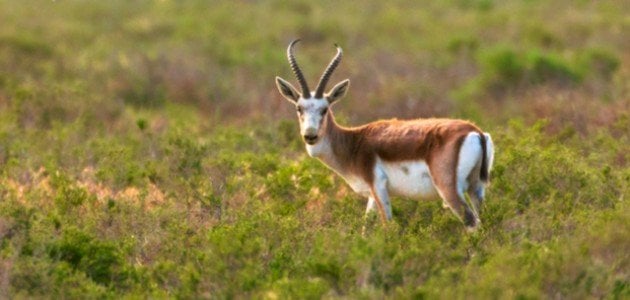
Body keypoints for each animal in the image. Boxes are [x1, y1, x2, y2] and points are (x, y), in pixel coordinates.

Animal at [274, 39, 496, 230]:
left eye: (324, 109)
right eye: (299, 108)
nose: (310, 135)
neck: (354, 142)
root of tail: (475, 131)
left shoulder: (379, 188)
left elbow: (387, 226)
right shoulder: (372, 196)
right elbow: (366, 228)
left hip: (449, 190)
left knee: (471, 222)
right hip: (476, 189)